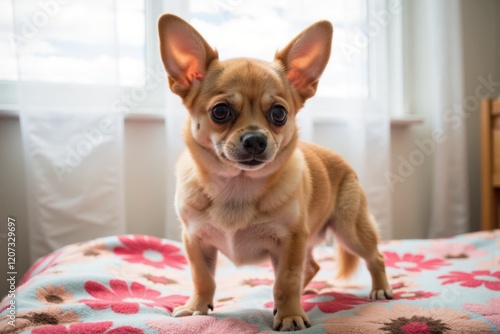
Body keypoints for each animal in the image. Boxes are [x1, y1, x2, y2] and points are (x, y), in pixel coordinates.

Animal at [158, 13, 392, 332]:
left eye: (279, 114)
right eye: (220, 111)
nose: (256, 139)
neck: (237, 186)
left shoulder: (290, 242)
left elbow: (286, 281)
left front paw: (291, 314)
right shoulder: (195, 240)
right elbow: (202, 277)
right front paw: (196, 307)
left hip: (350, 230)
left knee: (374, 257)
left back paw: (379, 289)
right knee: (312, 266)